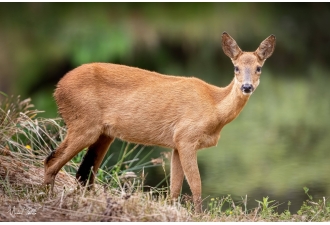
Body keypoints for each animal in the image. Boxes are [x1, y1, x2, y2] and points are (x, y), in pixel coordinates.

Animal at [44, 31, 276, 213]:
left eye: (259, 68)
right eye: (236, 67)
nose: (247, 87)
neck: (214, 107)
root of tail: (58, 88)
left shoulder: (176, 144)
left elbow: (174, 189)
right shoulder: (186, 137)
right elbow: (196, 185)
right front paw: (199, 215)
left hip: (104, 133)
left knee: (84, 173)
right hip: (83, 123)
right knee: (52, 161)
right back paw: (44, 198)